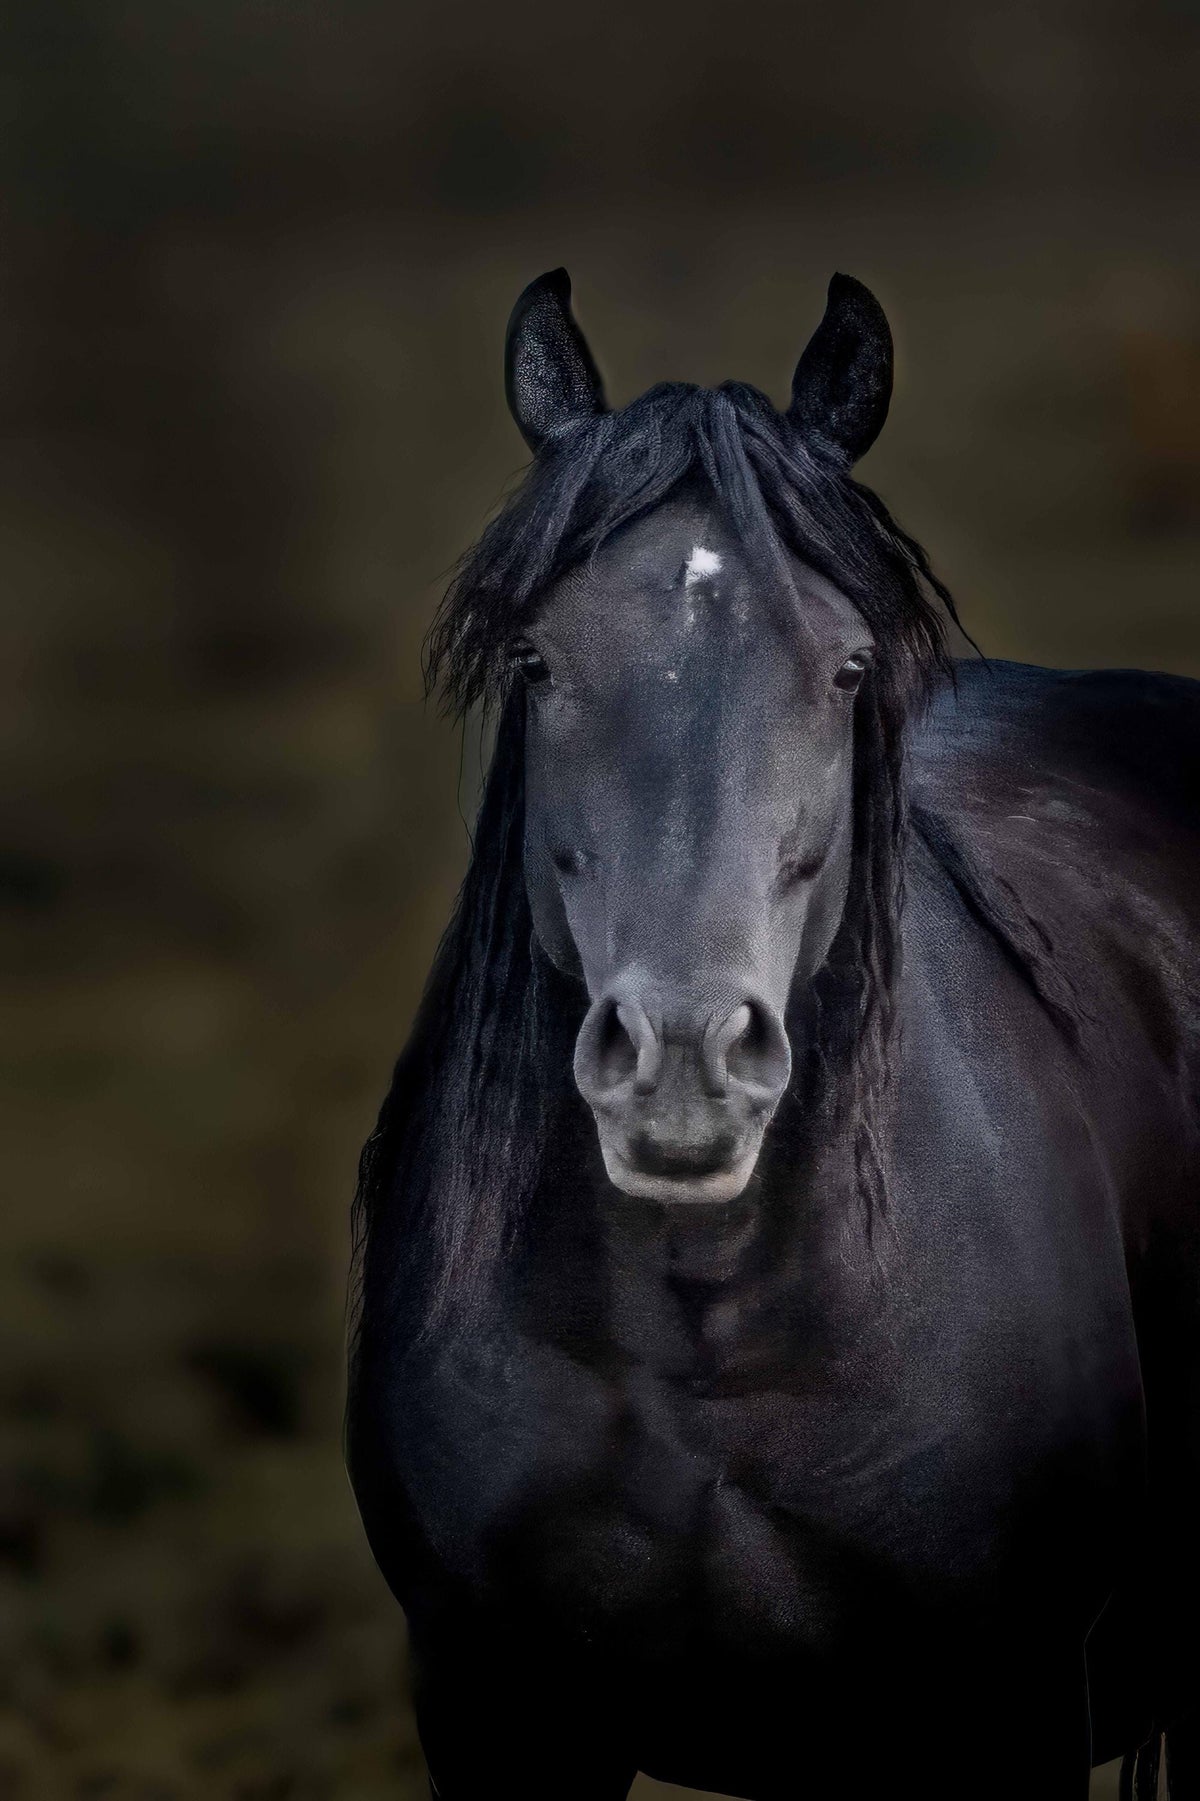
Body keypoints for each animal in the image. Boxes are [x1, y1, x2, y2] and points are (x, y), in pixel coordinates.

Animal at [346, 268, 1200, 1799]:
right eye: (537, 660)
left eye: (851, 668)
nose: (682, 1060)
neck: (705, 1343)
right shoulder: (493, 1707)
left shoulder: (1012, 1708)